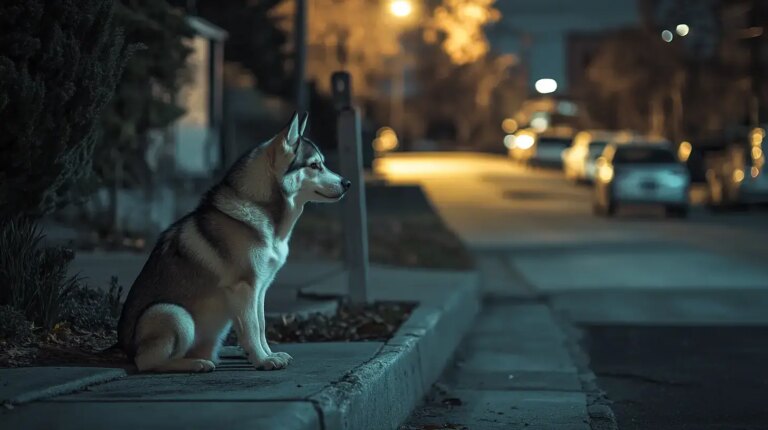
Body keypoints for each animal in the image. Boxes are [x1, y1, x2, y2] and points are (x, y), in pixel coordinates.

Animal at [117, 112, 352, 372]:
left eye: (322, 163)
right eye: (314, 165)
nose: (347, 183)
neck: (263, 211)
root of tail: (124, 349)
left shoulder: (260, 289)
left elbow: (260, 326)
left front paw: (267, 355)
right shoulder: (245, 287)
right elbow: (251, 329)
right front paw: (262, 360)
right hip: (175, 315)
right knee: (147, 362)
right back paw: (196, 363)